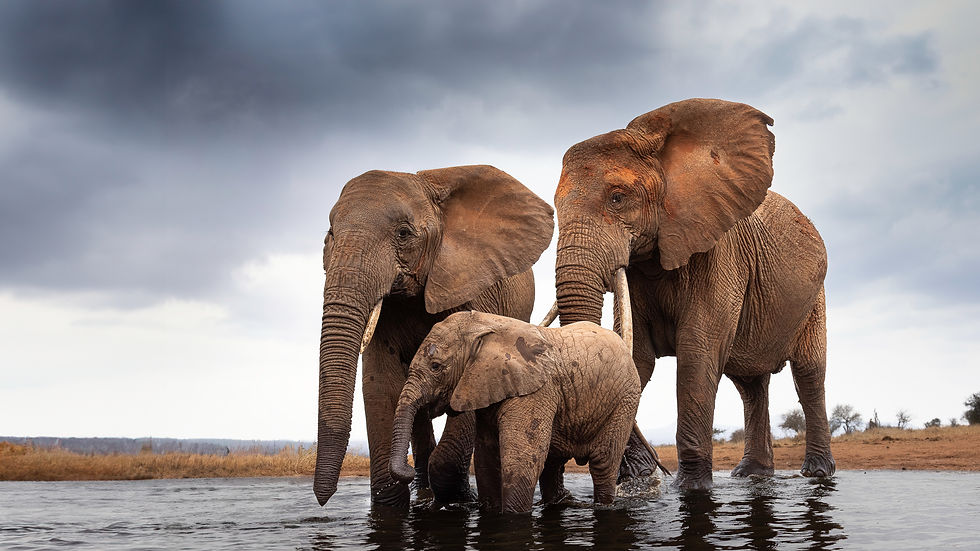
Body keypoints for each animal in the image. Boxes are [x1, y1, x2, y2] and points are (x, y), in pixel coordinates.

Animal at [314, 165, 554, 507]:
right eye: (330, 234)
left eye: (403, 233)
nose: (323, 499)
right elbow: (380, 382)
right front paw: (392, 499)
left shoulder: (474, 285)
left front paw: (459, 499)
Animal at [389, 311, 641, 513]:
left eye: (436, 367)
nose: (409, 470)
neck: (485, 324)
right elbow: (487, 460)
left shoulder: (535, 391)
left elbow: (521, 461)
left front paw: (513, 517)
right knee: (552, 464)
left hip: (625, 400)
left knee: (603, 463)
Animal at [551, 98, 835, 490]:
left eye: (617, 198)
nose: (655, 469)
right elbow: (638, 357)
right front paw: (637, 480)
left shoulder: (719, 251)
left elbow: (696, 354)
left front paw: (690, 488)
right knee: (750, 385)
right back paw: (751, 475)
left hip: (814, 297)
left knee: (808, 373)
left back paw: (818, 474)